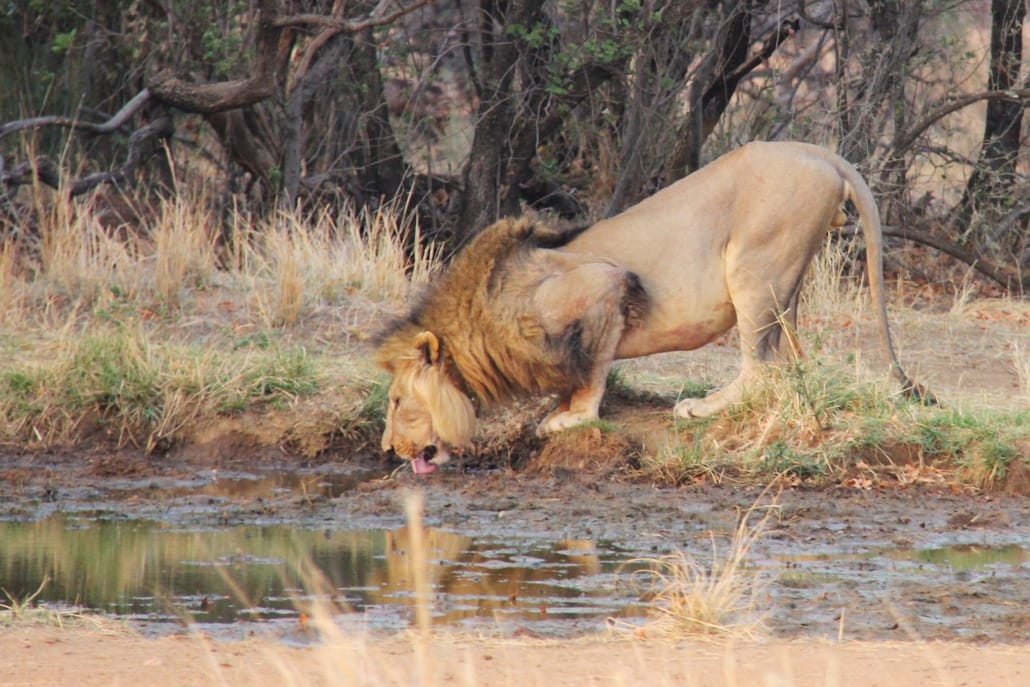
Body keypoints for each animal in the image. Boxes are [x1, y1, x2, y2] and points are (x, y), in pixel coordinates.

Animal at [375, 141, 928, 474]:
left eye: (398, 402)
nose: (387, 450)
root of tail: (820, 152)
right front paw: (559, 410)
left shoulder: (604, 284)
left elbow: (591, 373)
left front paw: (571, 419)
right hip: (785, 283)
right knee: (788, 365)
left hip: (754, 266)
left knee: (759, 367)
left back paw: (701, 407)